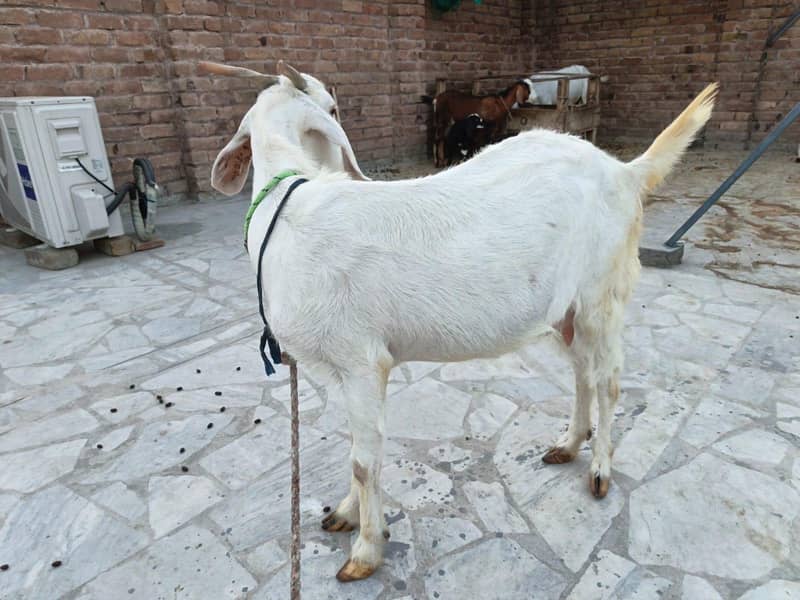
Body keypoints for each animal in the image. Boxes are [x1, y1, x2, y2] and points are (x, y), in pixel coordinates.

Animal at [203, 60, 717, 583]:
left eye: (332, 108)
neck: (286, 210)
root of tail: (626, 171)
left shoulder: (362, 361)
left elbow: (365, 460)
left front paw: (366, 549)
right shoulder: (341, 370)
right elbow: (355, 449)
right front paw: (346, 514)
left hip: (603, 293)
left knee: (609, 381)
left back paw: (600, 472)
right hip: (566, 310)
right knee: (583, 376)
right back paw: (570, 444)